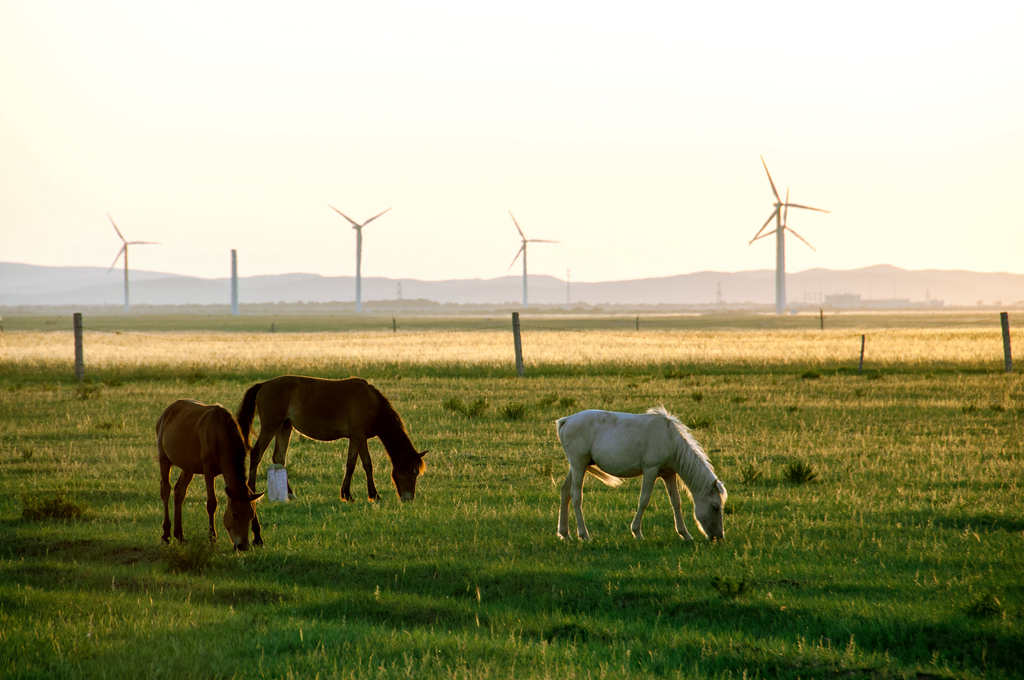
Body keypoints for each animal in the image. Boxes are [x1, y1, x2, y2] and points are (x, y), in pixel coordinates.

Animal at [155, 401, 266, 548]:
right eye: (234, 514)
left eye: (251, 516)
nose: (242, 546)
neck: (220, 434)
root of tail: (166, 411)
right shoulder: (208, 472)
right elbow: (212, 504)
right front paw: (212, 539)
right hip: (164, 459)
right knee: (165, 490)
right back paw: (166, 535)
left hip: (188, 466)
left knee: (180, 492)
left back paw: (179, 535)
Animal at [236, 374, 428, 501]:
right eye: (405, 472)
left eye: (416, 473)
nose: (408, 498)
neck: (372, 403)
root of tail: (263, 385)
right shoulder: (360, 436)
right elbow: (367, 464)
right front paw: (374, 495)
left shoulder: (354, 438)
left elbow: (351, 464)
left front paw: (347, 494)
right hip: (271, 426)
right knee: (256, 454)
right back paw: (252, 492)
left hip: (284, 427)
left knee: (279, 458)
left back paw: (290, 494)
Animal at [552, 405, 729, 544]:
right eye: (715, 507)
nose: (719, 537)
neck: (670, 439)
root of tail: (567, 420)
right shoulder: (651, 470)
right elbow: (644, 500)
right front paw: (637, 532)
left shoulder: (669, 474)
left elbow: (676, 502)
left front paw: (685, 534)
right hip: (578, 465)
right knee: (576, 495)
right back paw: (584, 535)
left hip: (576, 467)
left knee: (565, 492)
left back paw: (565, 534)